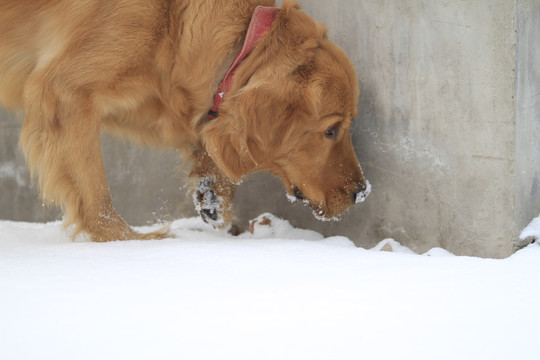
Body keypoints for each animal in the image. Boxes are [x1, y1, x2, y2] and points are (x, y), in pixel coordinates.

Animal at [0, 0, 370, 242]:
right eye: (331, 130)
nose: (363, 193)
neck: (173, 20)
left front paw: (214, 194)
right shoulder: (65, 91)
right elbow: (94, 190)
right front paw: (128, 241)